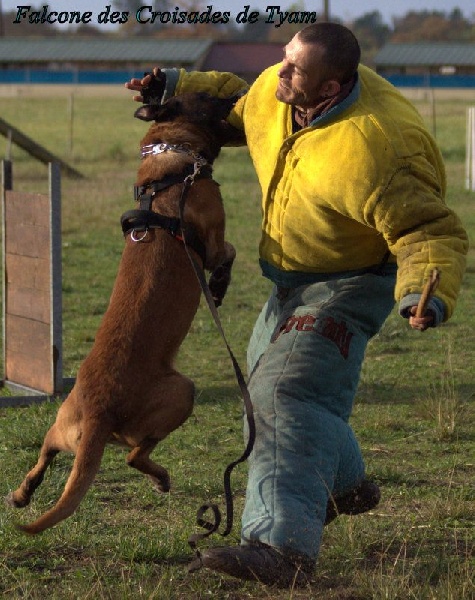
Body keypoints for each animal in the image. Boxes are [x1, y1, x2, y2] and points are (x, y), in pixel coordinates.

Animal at [5, 90, 238, 536]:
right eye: (206, 98)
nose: (237, 95)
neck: (170, 154)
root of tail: (99, 412)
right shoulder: (214, 239)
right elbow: (228, 253)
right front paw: (218, 285)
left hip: (61, 425)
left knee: (44, 455)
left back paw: (23, 494)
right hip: (183, 392)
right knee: (134, 454)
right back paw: (161, 479)